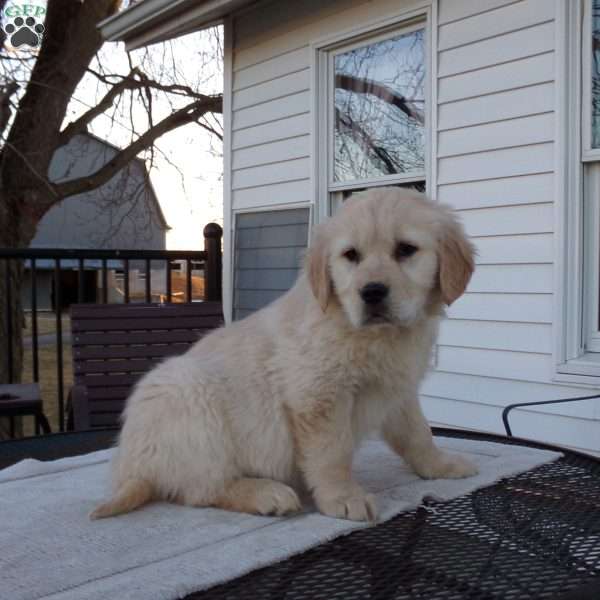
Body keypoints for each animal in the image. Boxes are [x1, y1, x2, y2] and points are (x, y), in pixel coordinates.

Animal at [92, 186, 478, 520]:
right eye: (351, 255)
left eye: (406, 249)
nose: (371, 293)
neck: (375, 335)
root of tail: (132, 468)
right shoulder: (318, 395)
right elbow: (331, 452)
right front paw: (343, 497)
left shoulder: (397, 390)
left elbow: (418, 434)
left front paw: (441, 465)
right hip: (187, 399)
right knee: (202, 489)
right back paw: (266, 493)